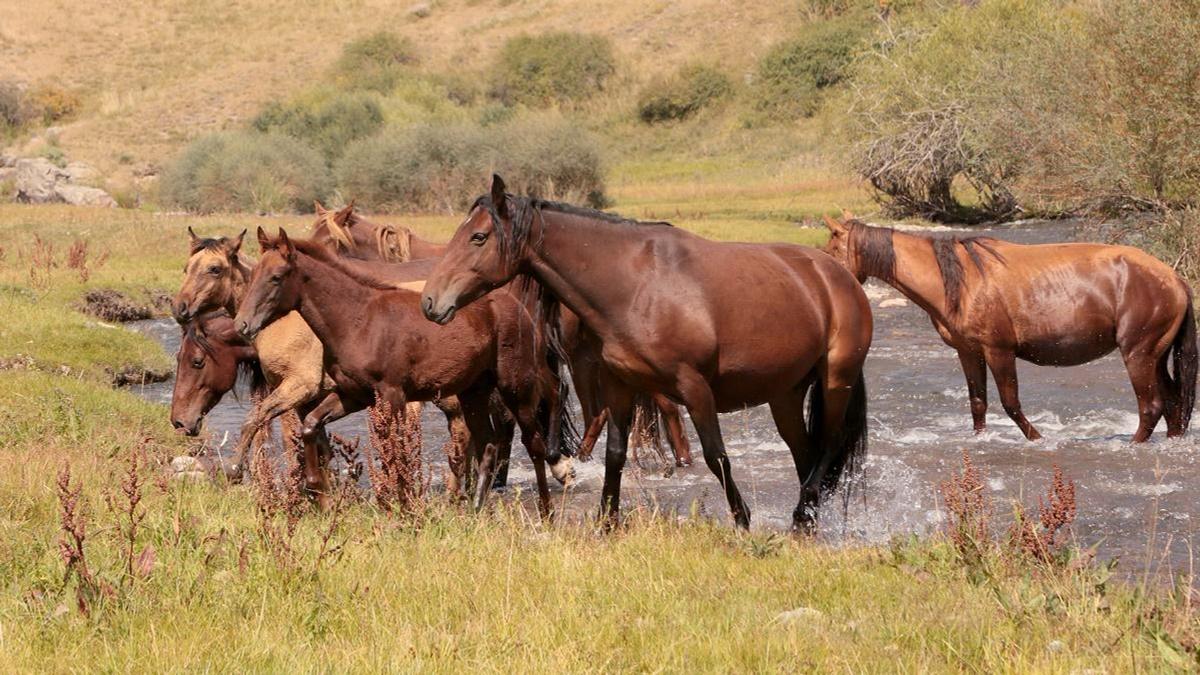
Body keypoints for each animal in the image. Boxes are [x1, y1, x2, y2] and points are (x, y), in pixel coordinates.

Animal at [235, 228, 576, 511]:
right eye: (252, 276)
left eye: (277, 277)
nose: (242, 325)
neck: (357, 320)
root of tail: (519, 307)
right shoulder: (353, 395)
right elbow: (310, 427)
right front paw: (318, 492)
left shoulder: (393, 395)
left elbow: (396, 449)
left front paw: (403, 506)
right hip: (474, 392)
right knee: (488, 442)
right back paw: (475, 510)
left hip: (515, 384)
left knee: (533, 440)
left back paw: (547, 510)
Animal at [422, 174, 873, 530]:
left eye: (478, 237)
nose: (429, 301)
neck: (635, 286)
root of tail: (839, 277)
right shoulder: (619, 385)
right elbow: (615, 456)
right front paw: (606, 523)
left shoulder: (694, 388)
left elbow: (717, 457)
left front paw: (742, 520)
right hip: (786, 393)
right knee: (805, 452)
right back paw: (807, 517)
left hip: (836, 380)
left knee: (828, 445)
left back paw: (801, 515)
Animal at [820, 211, 1195, 441]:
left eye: (831, 249)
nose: (827, 282)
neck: (959, 282)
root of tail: (1174, 278)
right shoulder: (969, 352)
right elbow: (978, 404)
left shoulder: (998, 351)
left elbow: (1010, 403)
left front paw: (1038, 438)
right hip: (1156, 356)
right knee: (1173, 403)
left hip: (1138, 354)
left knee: (1152, 406)